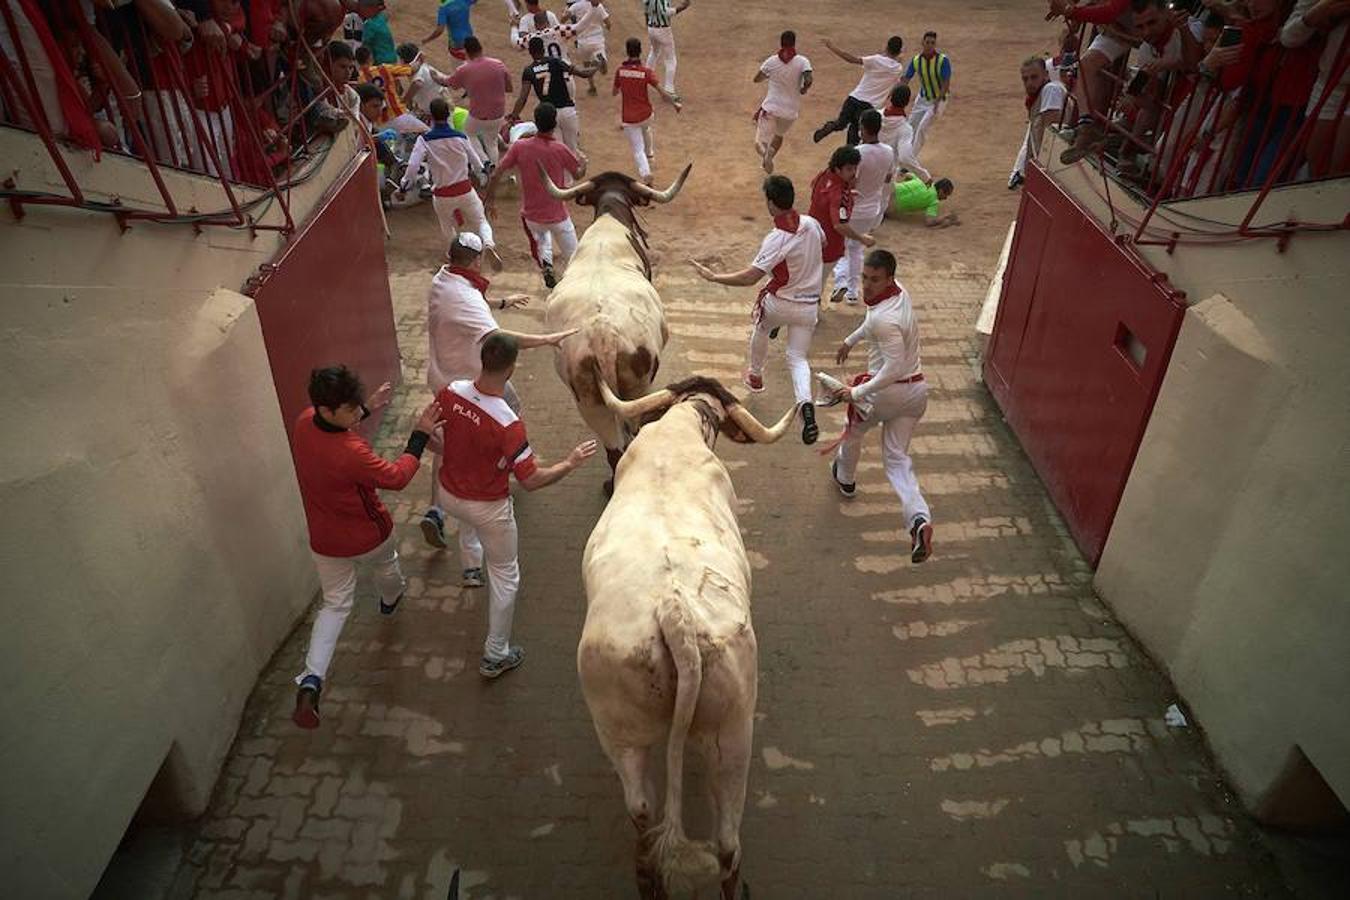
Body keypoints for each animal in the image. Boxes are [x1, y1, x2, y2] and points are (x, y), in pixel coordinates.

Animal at [577, 377, 788, 900]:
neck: (677, 436)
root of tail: (673, 612)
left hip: (623, 733)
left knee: (643, 815)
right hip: (733, 735)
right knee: (728, 843)